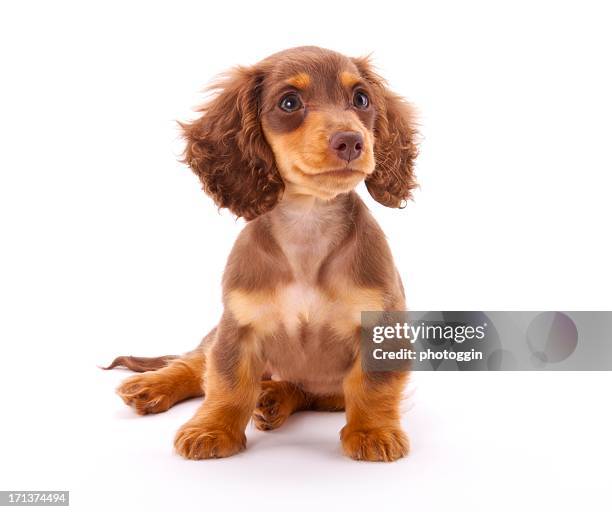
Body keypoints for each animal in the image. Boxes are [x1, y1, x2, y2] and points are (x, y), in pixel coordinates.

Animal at [107, 46, 418, 462]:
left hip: (326, 393)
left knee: (303, 390)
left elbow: (373, 385)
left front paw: (372, 431)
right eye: (289, 102)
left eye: (361, 99)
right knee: (193, 363)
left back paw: (274, 396)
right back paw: (153, 386)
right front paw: (212, 428)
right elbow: (226, 382)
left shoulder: (381, 326)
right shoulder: (238, 325)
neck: (307, 226)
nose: (351, 141)